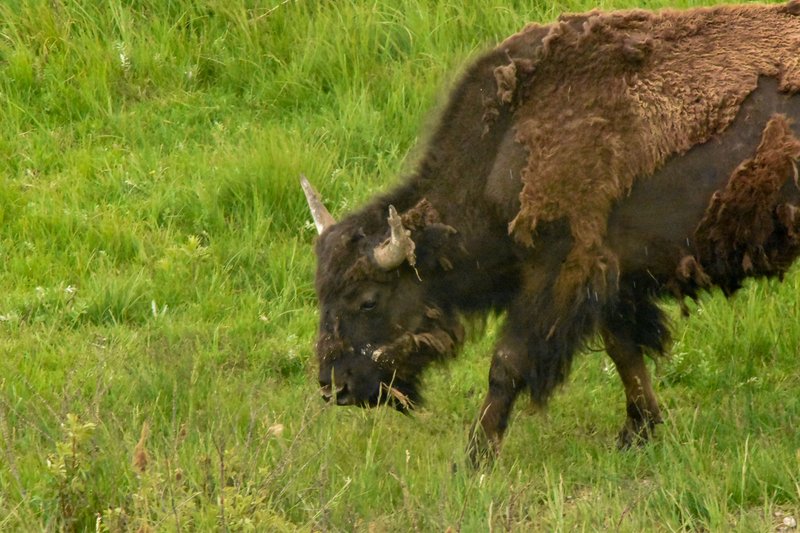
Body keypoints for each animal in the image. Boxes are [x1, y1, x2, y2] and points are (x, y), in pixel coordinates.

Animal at [302, 1, 800, 462]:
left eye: (368, 300)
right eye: (321, 293)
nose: (334, 385)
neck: (504, 145)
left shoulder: (557, 270)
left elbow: (507, 362)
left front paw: (475, 456)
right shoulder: (609, 275)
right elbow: (624, 352)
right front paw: (638, 432)